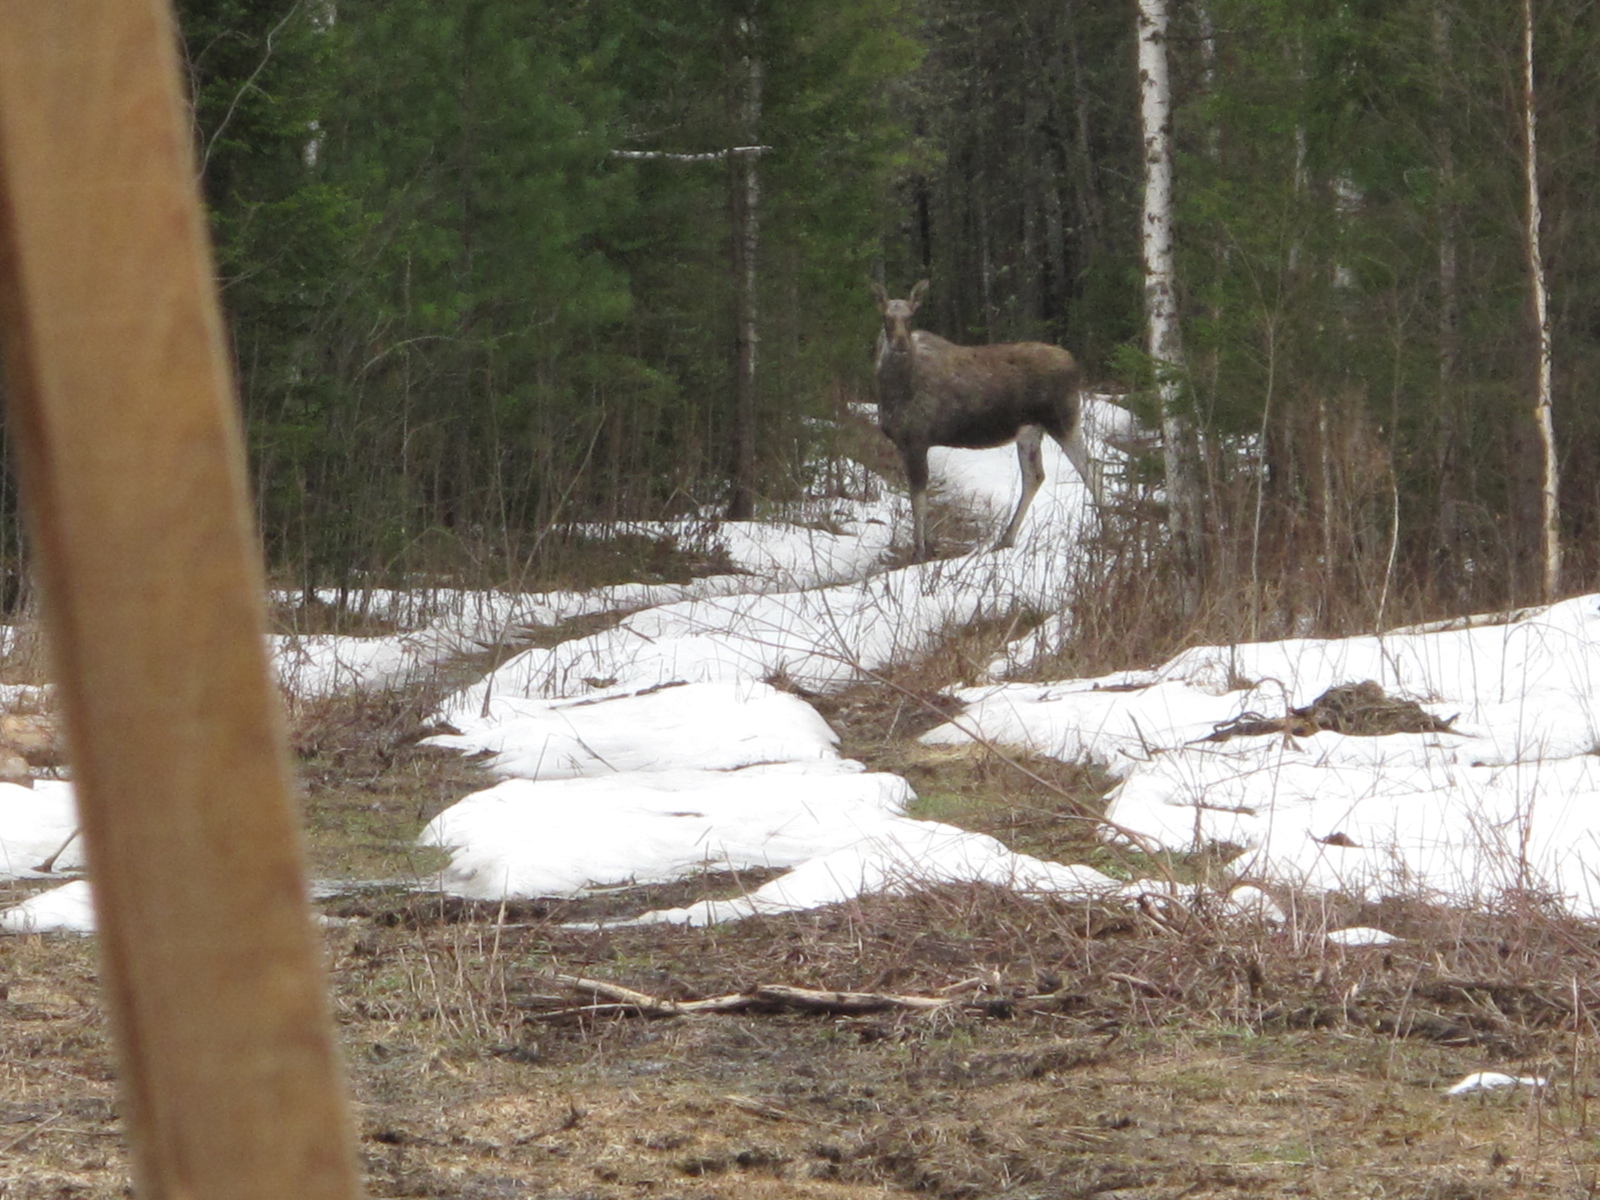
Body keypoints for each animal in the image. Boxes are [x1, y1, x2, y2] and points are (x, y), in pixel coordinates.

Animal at [876, 281, 1100, 563]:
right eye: (886, 317)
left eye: (909, 317)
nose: (900, 344)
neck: (892, 391)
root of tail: (1076, 365)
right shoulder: (905, 444)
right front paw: (928, 547)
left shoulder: (917, 440)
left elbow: (918, 497)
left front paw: (920, 552)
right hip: (1030, 431)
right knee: (1035, 476)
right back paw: (1005, 539)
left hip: (1063, 420)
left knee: (1090, 469)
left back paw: (1106, 531)